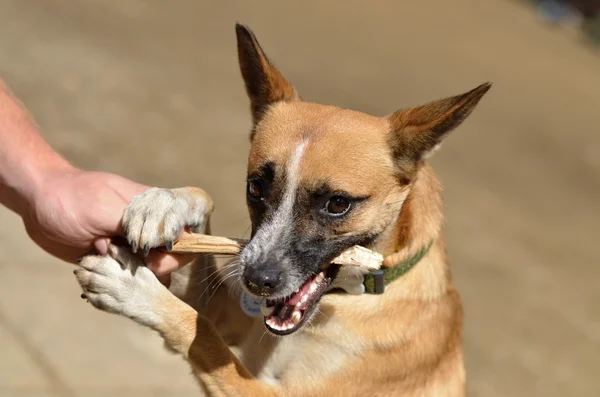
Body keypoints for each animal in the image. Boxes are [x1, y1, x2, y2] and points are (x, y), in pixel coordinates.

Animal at [75, 24, 490, 396]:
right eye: (255, 187)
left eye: (337, 204)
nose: (256, 281)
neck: (354, 297)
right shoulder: (229, 317)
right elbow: (201, 276)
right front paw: (165, 203)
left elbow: (201, 331)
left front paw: (133, 290)